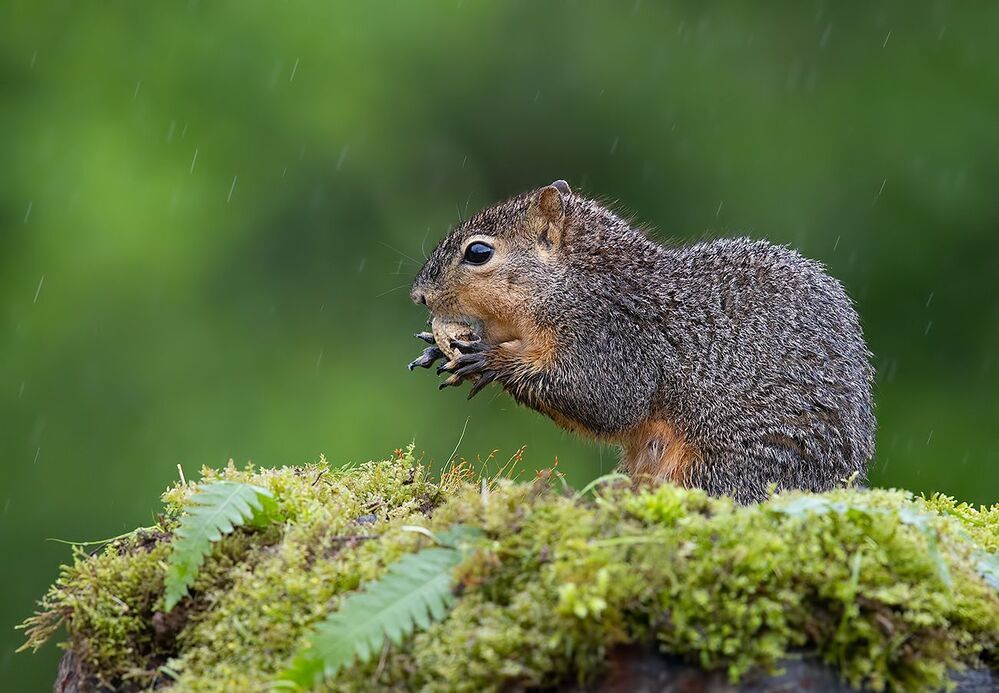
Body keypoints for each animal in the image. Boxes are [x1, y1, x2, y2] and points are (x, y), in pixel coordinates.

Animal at [407, 180, 875, 503]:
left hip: (729, 466)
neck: (578, 282)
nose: (418, 295)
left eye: (478, 253)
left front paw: (491, 360)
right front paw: (434, 345)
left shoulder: (615, 339)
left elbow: (603, 399)